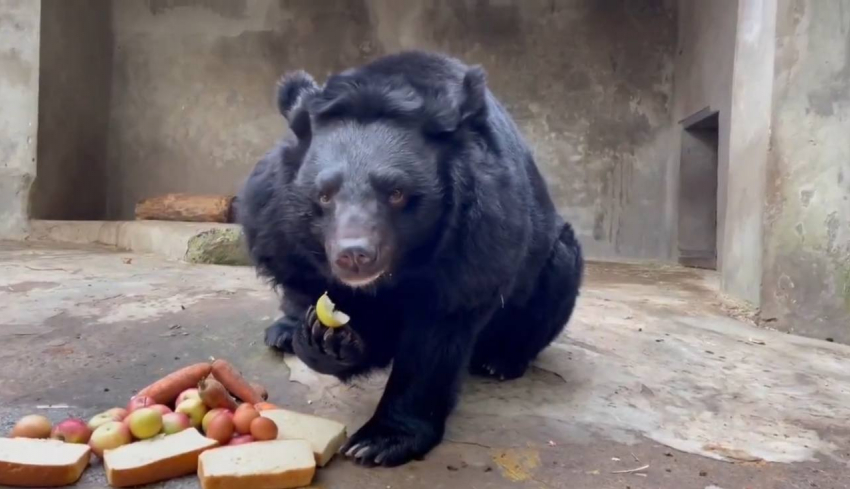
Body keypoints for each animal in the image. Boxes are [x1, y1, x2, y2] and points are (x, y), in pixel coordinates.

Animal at [238, 50, 584, 466]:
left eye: (397, 193)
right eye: (324, 195)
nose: (354, 256)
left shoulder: (476, 238)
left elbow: (437, 337)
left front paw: (379, 442)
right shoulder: (278, 225)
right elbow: (310, 289)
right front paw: (324, 339)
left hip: (552, 259)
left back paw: (500, 361)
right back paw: (284, 332)